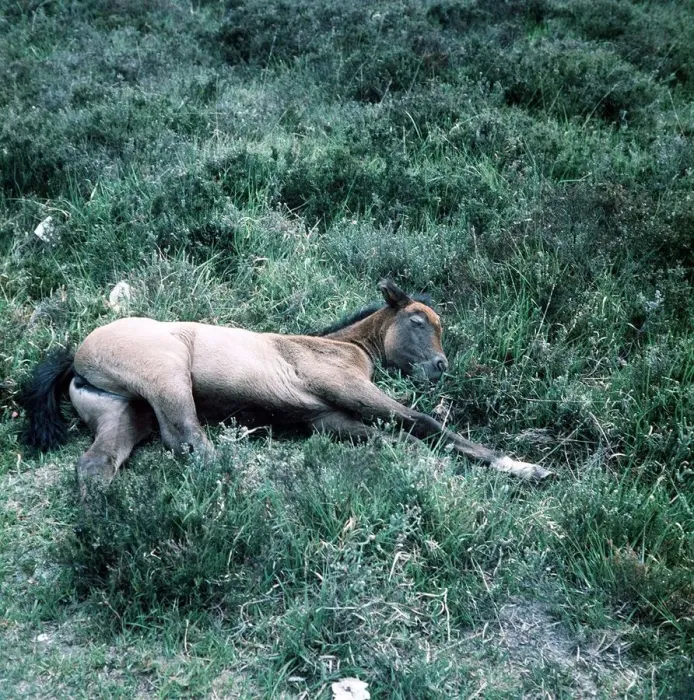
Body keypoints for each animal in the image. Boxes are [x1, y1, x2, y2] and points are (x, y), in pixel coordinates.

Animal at [21, 279, 552, 491]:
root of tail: (77, 354)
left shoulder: (329, 417)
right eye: (419, 321)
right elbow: (422, 425)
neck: (344, 348)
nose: (440, 366)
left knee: (97, 464)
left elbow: (392, 440)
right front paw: (522, 467)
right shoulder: (348, 390)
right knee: (188, 442)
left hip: (123, 410)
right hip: (166, 377)